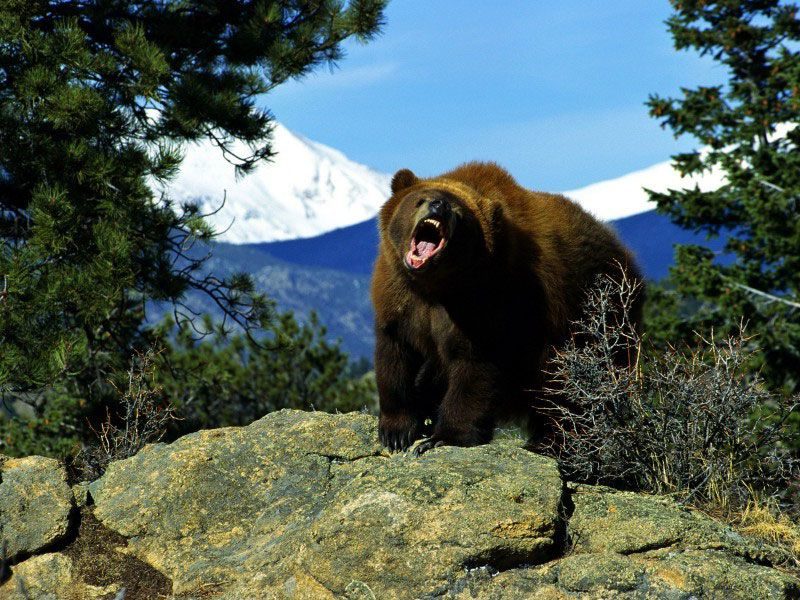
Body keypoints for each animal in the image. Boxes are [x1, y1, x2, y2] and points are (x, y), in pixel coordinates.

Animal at [371, 162, 644, 455]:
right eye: (420, 199)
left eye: (459, 213)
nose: (439, 205)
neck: (436, 285)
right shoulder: (399, 299)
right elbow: (395, 357)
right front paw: (397, 431)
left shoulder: (489, 303)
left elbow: (475, 367)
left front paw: (443, 437)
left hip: (593, 318)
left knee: (570, 389)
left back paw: (552, 442)